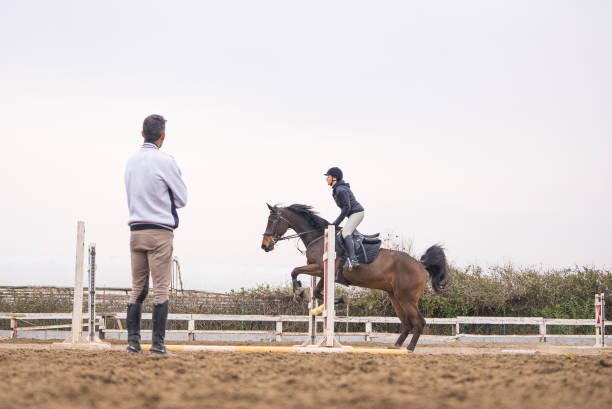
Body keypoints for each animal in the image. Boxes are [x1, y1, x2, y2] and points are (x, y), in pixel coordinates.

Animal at [260, 204, 448, 350]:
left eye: (273, 220)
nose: (265, 246)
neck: (318, 237)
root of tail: (421, 265)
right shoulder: (323, 273)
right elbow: (318, 292)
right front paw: (338, 299)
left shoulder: (320, 268)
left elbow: (295, 271)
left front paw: (299, 291)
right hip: (395, 296)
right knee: (407, 322)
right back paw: (396, 346)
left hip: (406, 297)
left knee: (419, 322)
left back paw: (409, 348)